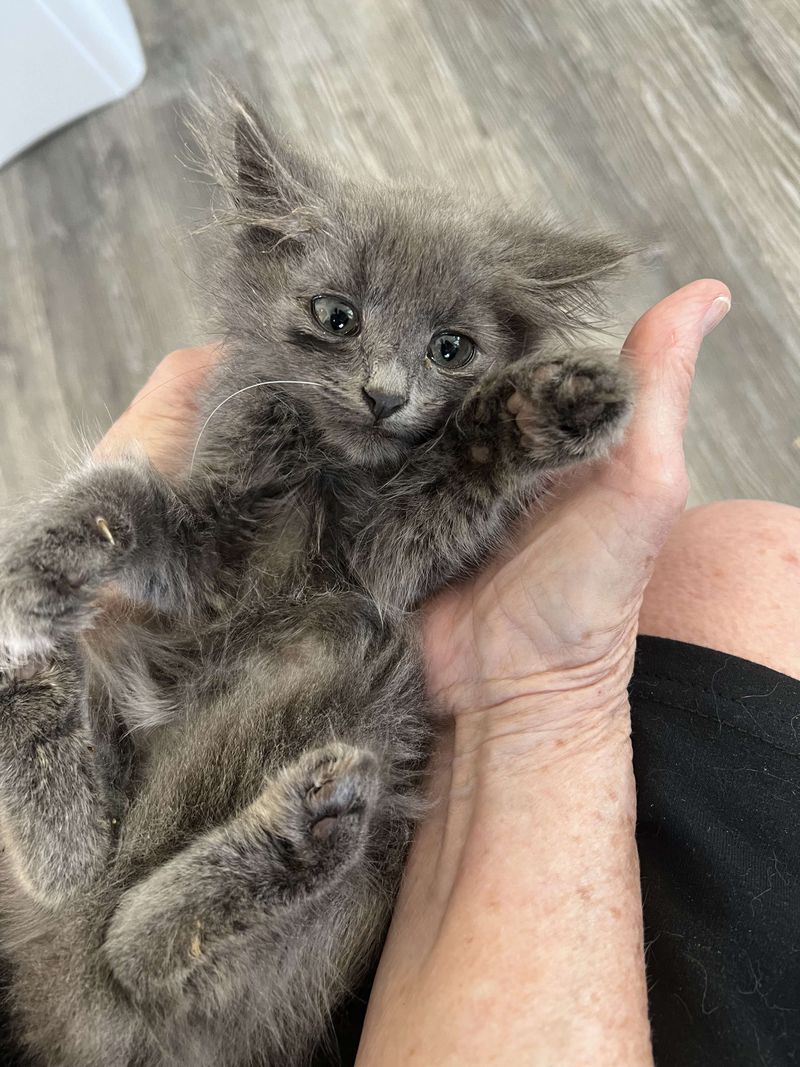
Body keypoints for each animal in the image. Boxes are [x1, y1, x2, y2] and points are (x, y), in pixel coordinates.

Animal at [0, 100, 631, 1067]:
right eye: (338, 317)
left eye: (452, 349)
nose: (386, 393)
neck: (324, 478)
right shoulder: (211, 556)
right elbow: (124, 500)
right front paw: (42, 558)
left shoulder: (387, 564)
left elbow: (454, 482)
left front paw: (536, 412)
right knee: (98, 900)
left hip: (369, 810)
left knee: (138, 954)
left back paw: (302, 828)